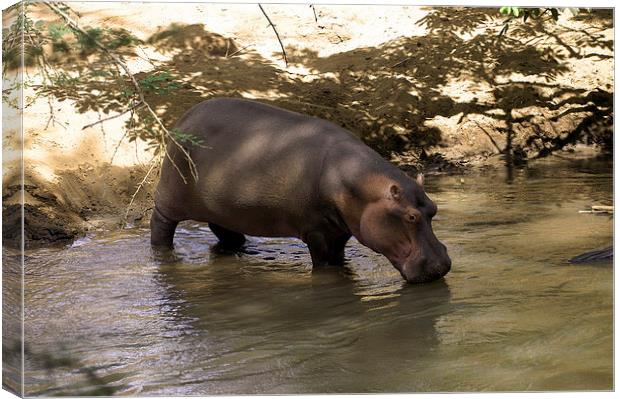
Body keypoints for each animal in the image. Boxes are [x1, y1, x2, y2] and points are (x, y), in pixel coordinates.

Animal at [150, 98, 450, 282]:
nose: (442, 266)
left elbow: (339, 256)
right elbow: (323, 263)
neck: (363, 190)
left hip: (225, 207)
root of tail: (183, 119)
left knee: (224, 230)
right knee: (161, 225)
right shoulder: (315, 230)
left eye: (434, 209)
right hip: (170, 197)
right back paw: (163, 255)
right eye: (411, 216)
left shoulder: (340, 230)